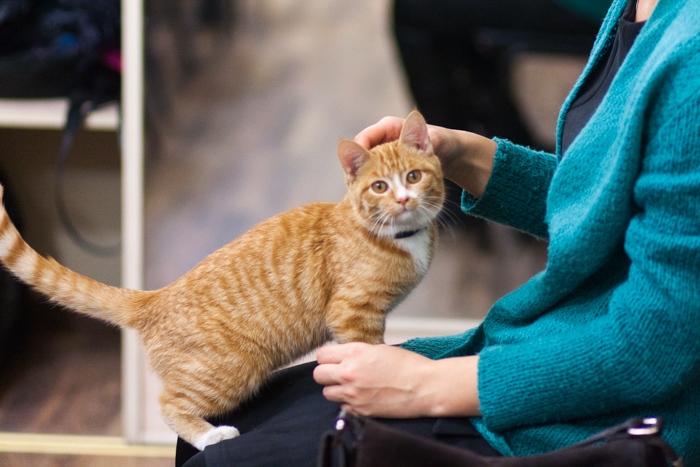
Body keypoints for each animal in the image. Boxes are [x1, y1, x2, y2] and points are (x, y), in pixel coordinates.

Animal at [0, 110, 444, 450]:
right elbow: (370, 354)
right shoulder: (352, 313)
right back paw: (210, 437)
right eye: (380, 186)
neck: (399, 237)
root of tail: (154, 297)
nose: (403, 199)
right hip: (233, 368)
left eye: (414, 176)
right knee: (170, 402)